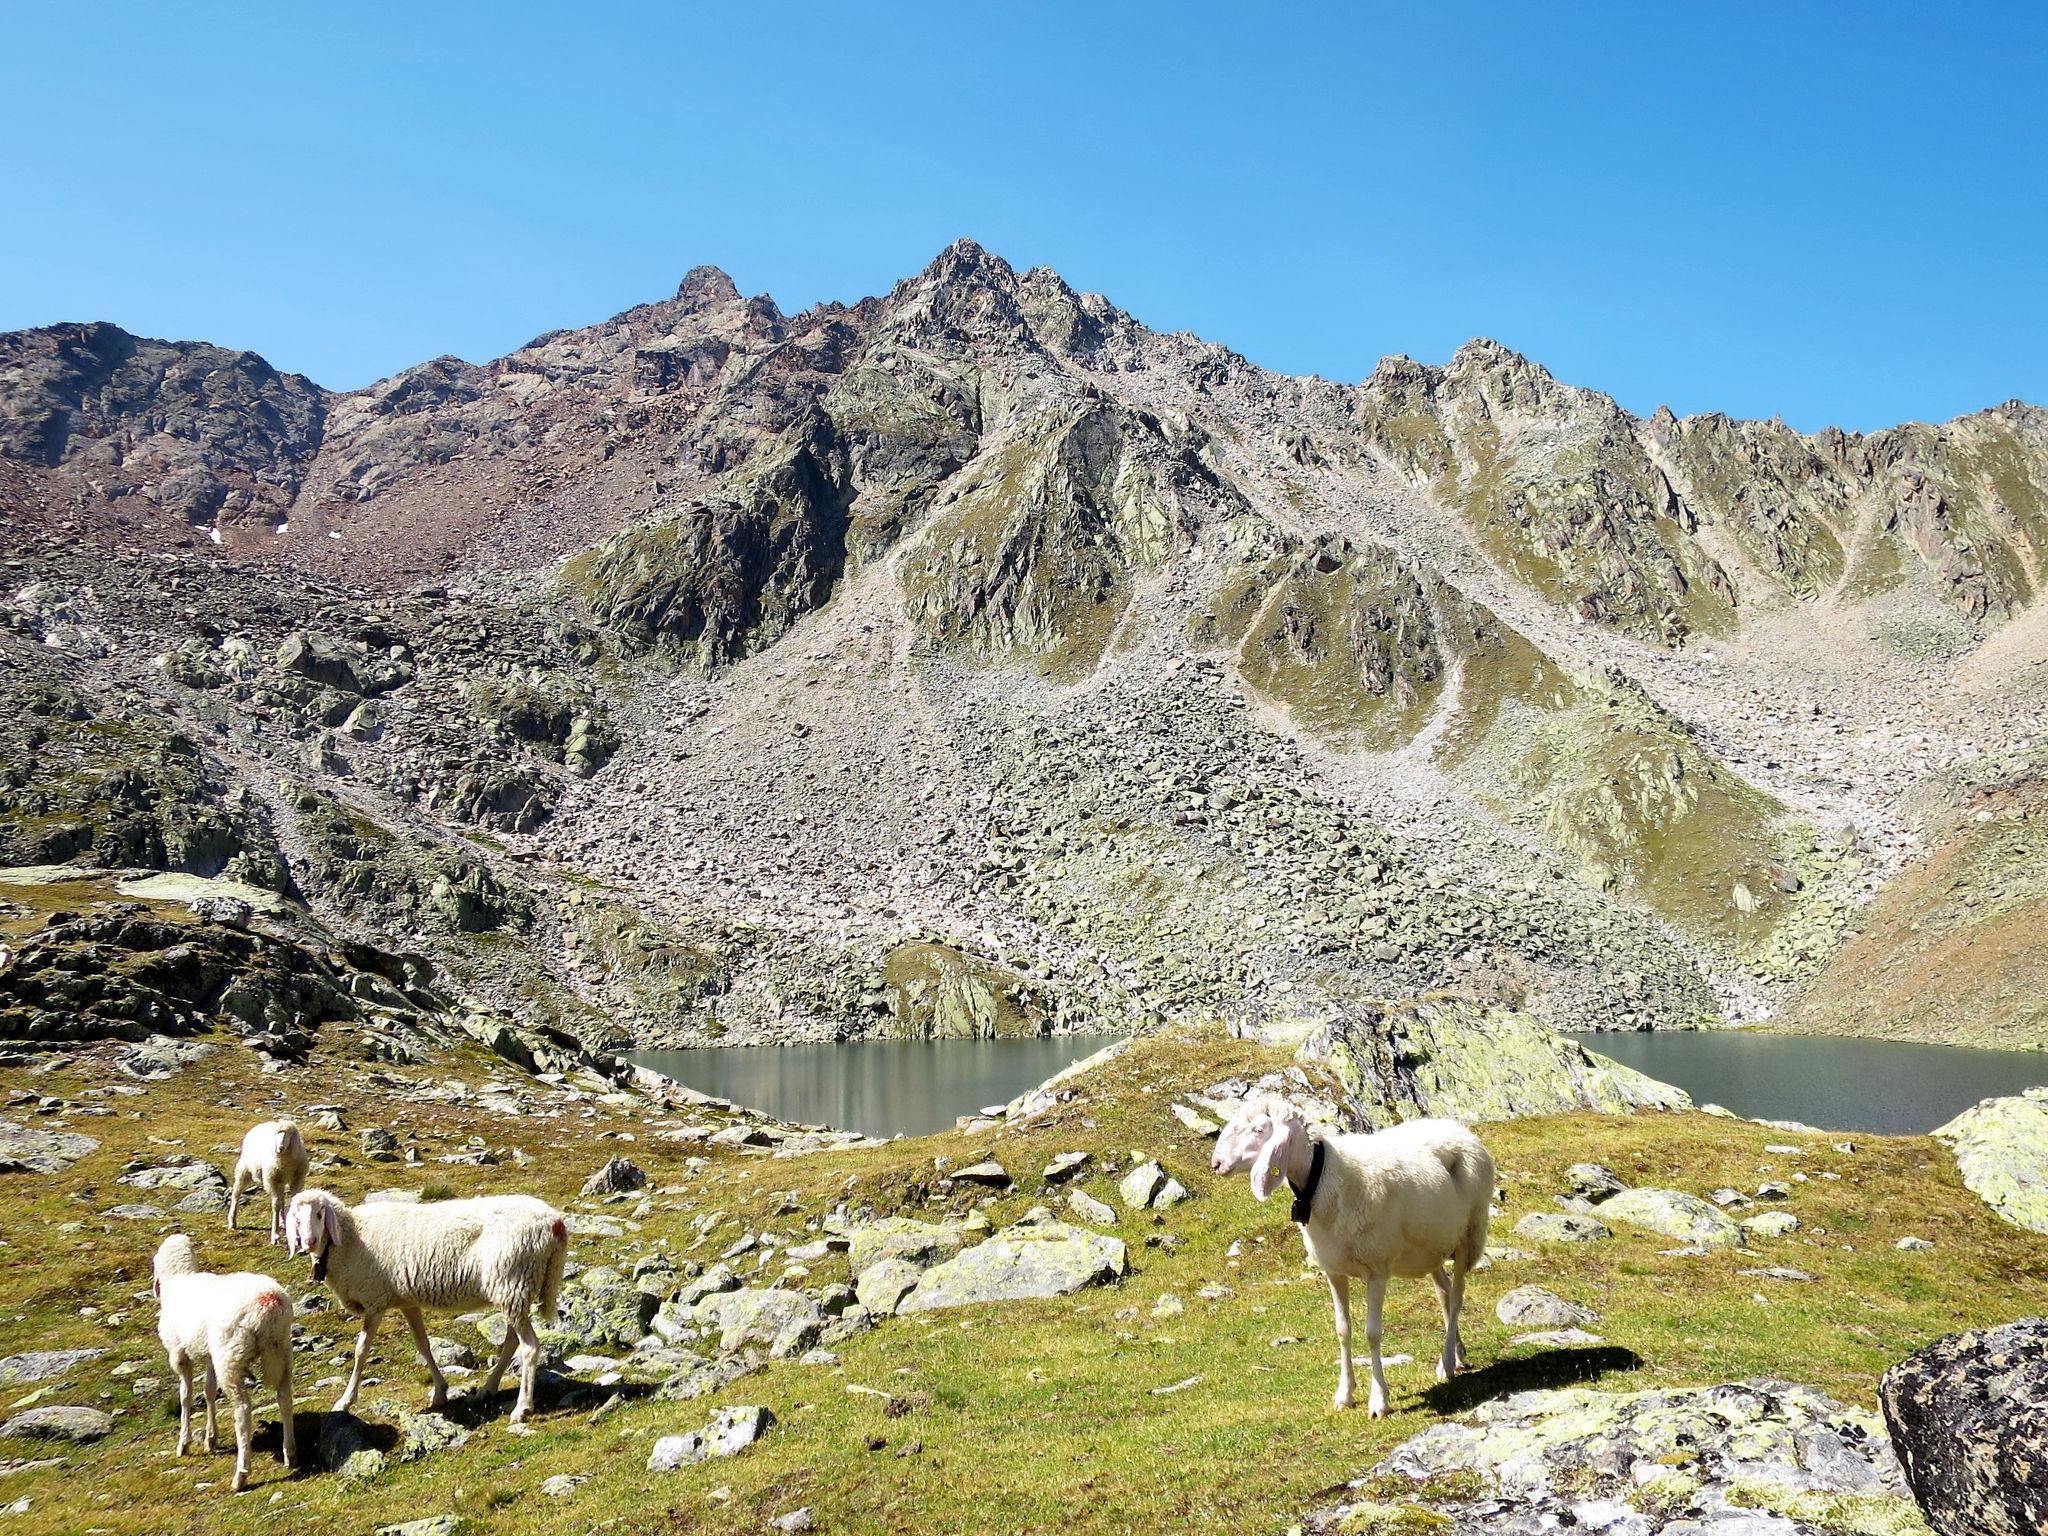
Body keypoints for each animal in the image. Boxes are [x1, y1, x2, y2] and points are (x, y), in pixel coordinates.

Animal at [151, 1236, 299, 1490]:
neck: (179, 1279)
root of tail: (269, 1302)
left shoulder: (179, 1354)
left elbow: (185, 1395)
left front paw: (184, 1443)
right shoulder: (210, 1355)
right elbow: (209, 1390)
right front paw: (211, 1438)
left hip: (230, 1356)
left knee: (243, 1409)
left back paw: (241, 1475)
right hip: (282, 1350)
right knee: (284, 1397)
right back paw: (290, 1453)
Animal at [228, 1122, 307, 1253]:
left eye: (289, 1134)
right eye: (277, 1134)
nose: (280, 1148)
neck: (285, 1159)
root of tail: (260, 1124)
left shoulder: (296, 1179)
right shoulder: (272, 1180)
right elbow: (276, 1205)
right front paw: (274, 1236)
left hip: (281, 1180)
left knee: (281, 1199)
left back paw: (282, 1221)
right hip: (244, 1170)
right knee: (236, 1193)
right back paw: (232, 1221)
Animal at [284, 1187, 565, 1433]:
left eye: (320, 1214)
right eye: (296, 1217)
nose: (309, 1242)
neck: (351, 1237)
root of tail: (555, 1222)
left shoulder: (375, 1301)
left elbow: (361, 1351)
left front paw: (345, 1401)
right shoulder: (407, 1301)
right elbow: (423, 1345)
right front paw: (440, 1391)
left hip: (512, 1282)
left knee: (529, 1346)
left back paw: (522, 1408)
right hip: (512, 1290)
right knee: (511, 1342)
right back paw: (487, 1389)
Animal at [1204, 1105, 1499, 1417]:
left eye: (1259, 1130)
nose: (1216, 1163)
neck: (1328, 1176)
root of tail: (1457, 1127)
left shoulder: (1377, 1269)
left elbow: (1372, 1333)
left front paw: (1379, 1400)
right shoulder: (1334, 1271)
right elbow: (1342, 1330)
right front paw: (1344, 1394)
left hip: (1469, 1236)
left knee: (1457, 1297)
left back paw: (1448, 1361)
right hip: (1431, 1247)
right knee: (1444, 1293)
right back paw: (1456, 1354)